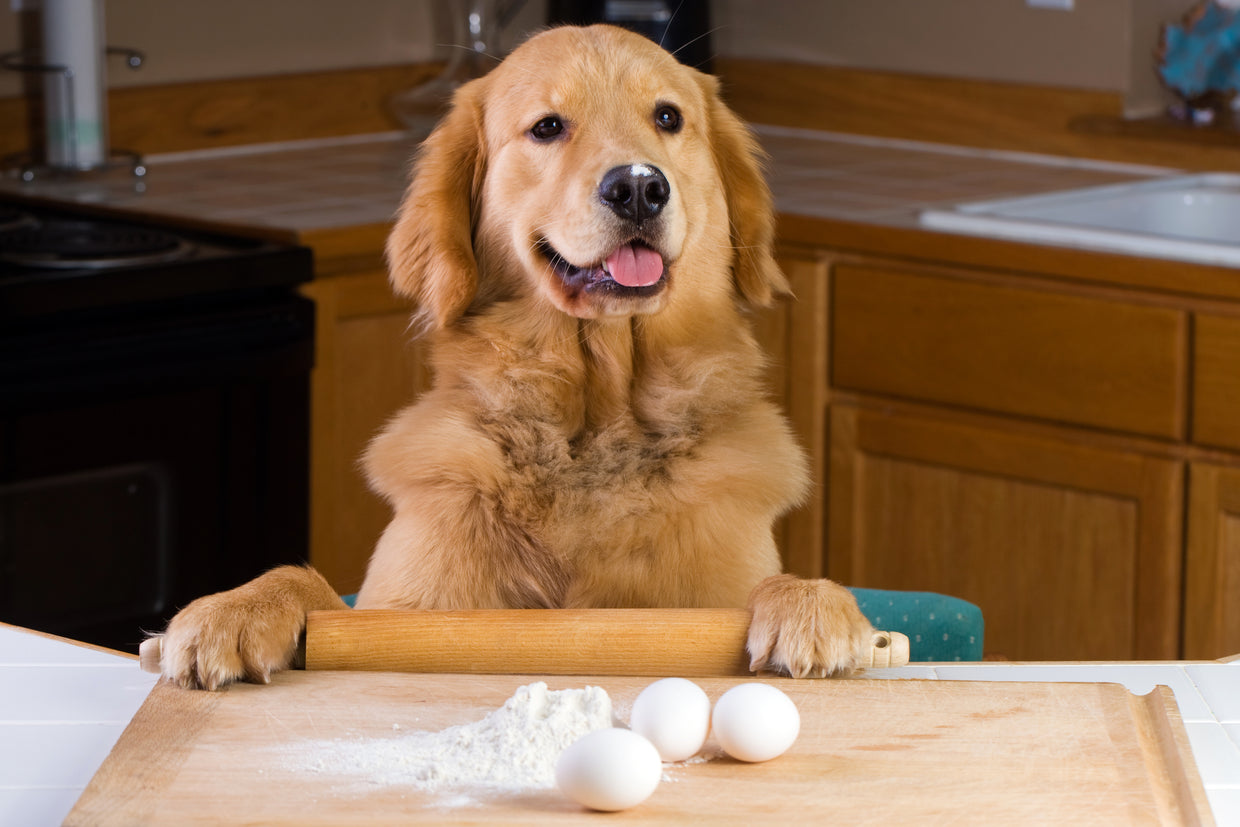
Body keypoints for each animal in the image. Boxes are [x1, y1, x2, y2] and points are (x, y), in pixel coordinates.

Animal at [152, 22, 872, 689]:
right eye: (547, 127)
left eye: (668, 117)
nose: (639, 187)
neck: (595, 431)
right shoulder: (405, 604)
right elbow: (308, 583)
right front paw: (232, 610)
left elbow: (779, 583)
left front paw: (813, 605)